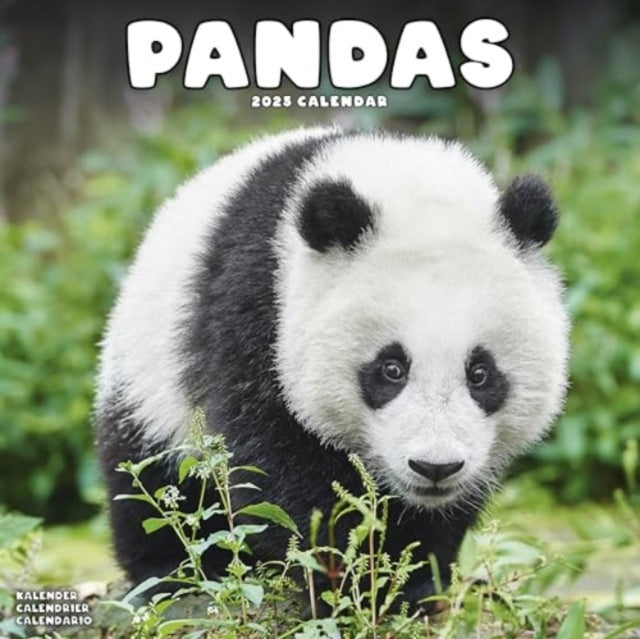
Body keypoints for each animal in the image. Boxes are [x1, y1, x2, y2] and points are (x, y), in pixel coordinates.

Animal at [95, 127, 569, 609]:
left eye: (480, 374)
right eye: (391, 369)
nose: (435, 467)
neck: (403, 181)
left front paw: (414, 580)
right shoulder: (258, 309)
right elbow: (274, 458)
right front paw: (349, 576)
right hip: (148, 369)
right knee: (146, 477)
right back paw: (171, 573)